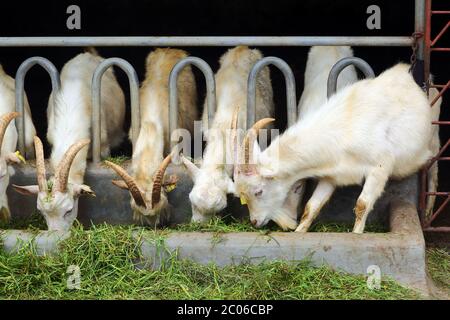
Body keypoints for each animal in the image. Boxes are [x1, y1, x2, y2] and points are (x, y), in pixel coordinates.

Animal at [232, 62, 432, 232]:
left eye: (258, 191)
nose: (255, 221)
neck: (343, 128)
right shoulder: (332, 176)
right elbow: (311, 206)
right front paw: (299, 232)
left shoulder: (380, 167)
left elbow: (362, 204)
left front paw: (356, 235)